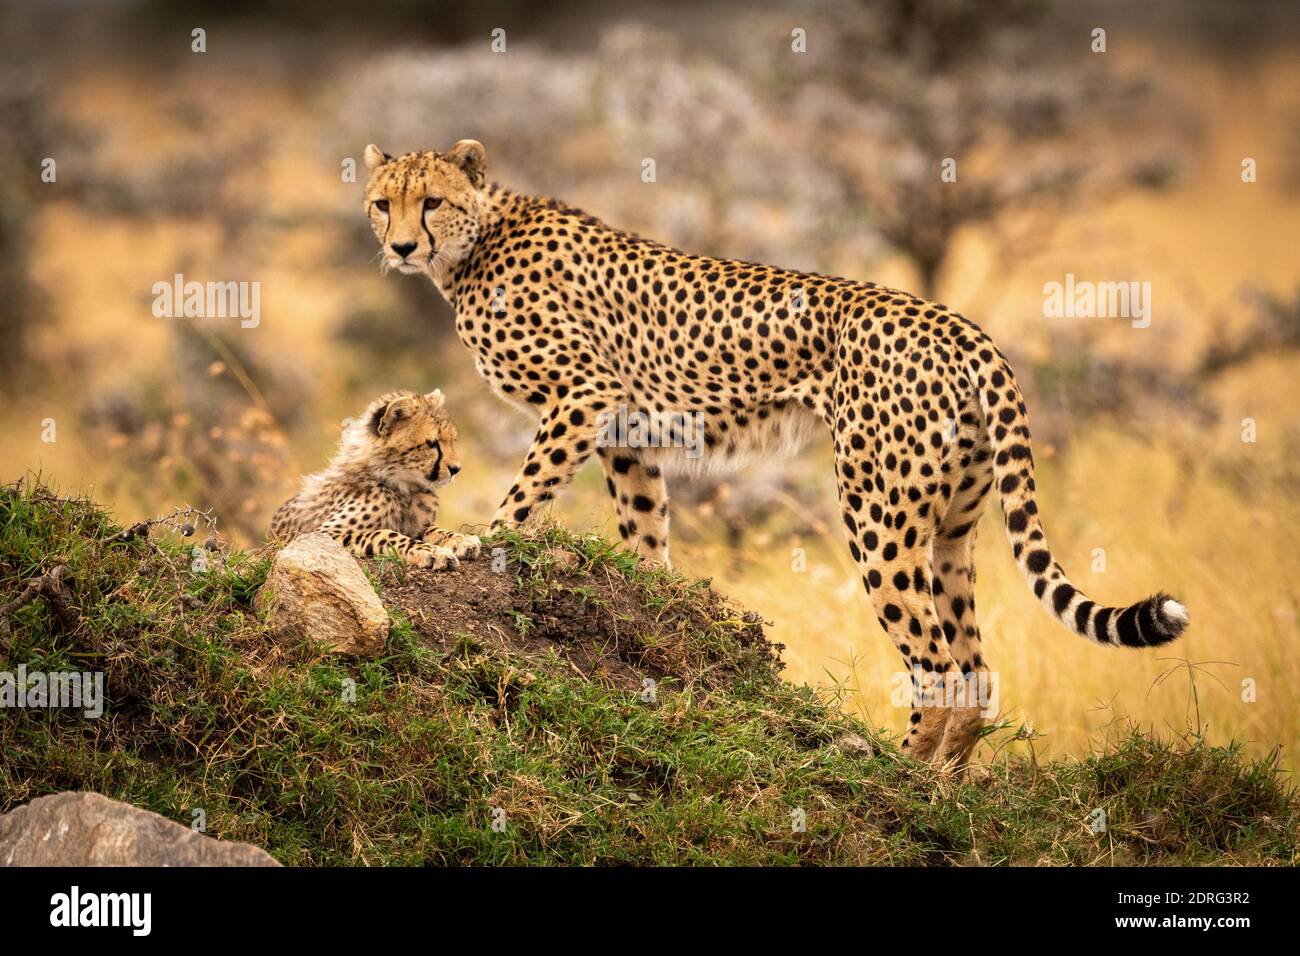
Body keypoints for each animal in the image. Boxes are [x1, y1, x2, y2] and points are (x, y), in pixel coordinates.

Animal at [270, 388, 481, 569]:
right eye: (432, 443)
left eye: (452, 440)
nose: (456, 469)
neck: (401, 486)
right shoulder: (318, 535)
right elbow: (384, 534)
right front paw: (432, 552)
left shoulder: (414, 524)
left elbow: (432, 529)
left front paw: (460, 538)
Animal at [361, 139, 1189, 768]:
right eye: (381, 202)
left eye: (429, 202)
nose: (398, 246)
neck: (474, 244)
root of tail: (959, 324)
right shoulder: (627, 431)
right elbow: (646, 530)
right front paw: (659, 599)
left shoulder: (584, 395)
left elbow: (521, 498)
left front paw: (479, 542)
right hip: (954, 528)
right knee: (977, 673)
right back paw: (943, 789)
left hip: (876, 513)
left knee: (937, 667)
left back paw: (894, 772)